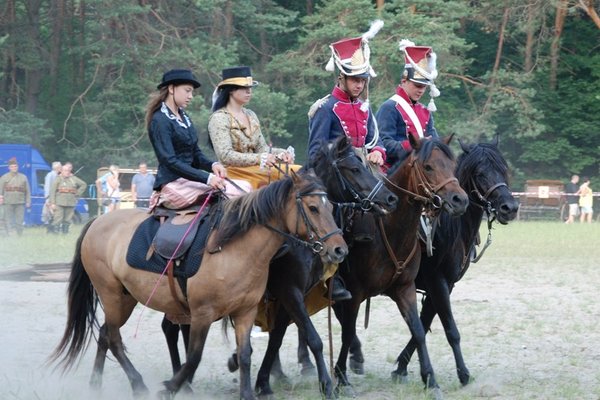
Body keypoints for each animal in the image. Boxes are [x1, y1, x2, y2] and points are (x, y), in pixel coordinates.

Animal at [49, 169, 350, 400]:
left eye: (331, 206)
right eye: (313, 208)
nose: (339, 249)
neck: (236, 247)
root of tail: (98, 221)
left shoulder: (246, 311)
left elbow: (246, 354)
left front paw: (247, 392)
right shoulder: (204, 313)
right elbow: (194, 356)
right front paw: (170, 387)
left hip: (126, 298)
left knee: (105, 334)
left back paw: (96, 384)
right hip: (111, 295)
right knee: (113, 337)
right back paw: (139, 384)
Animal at [332, 134, 468, 396]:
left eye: (452, 164)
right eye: (428, 166)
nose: (460, 199)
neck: (388, 227)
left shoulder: (405, 289)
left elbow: (418, 330)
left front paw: (430, 380)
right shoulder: (355, 292)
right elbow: (347, 331)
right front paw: (341, 378)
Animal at [394, 138, 520, 384]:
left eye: (504, 170)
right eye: (480, 174)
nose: (509, 208)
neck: (449, 227)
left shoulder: (446, 284)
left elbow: (424, 322)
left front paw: (401, 366)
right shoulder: (436, 281)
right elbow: (449, 328)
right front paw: (462, 372)